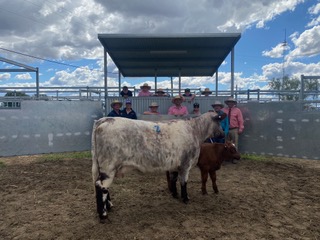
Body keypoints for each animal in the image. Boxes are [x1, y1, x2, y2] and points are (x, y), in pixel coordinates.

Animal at [91, 111, 224, 220]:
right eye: (219, 121)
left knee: (102, 186)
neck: (194, 130)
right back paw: (103, 214)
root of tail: (105, 119)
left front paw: (175, 194)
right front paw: (185, 198)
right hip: (108, 167)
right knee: (101, 186)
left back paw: (109, 206)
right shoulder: (185, 164)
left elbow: (173, 179)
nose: (222, 134)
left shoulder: (174, 165)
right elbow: (183, 182)